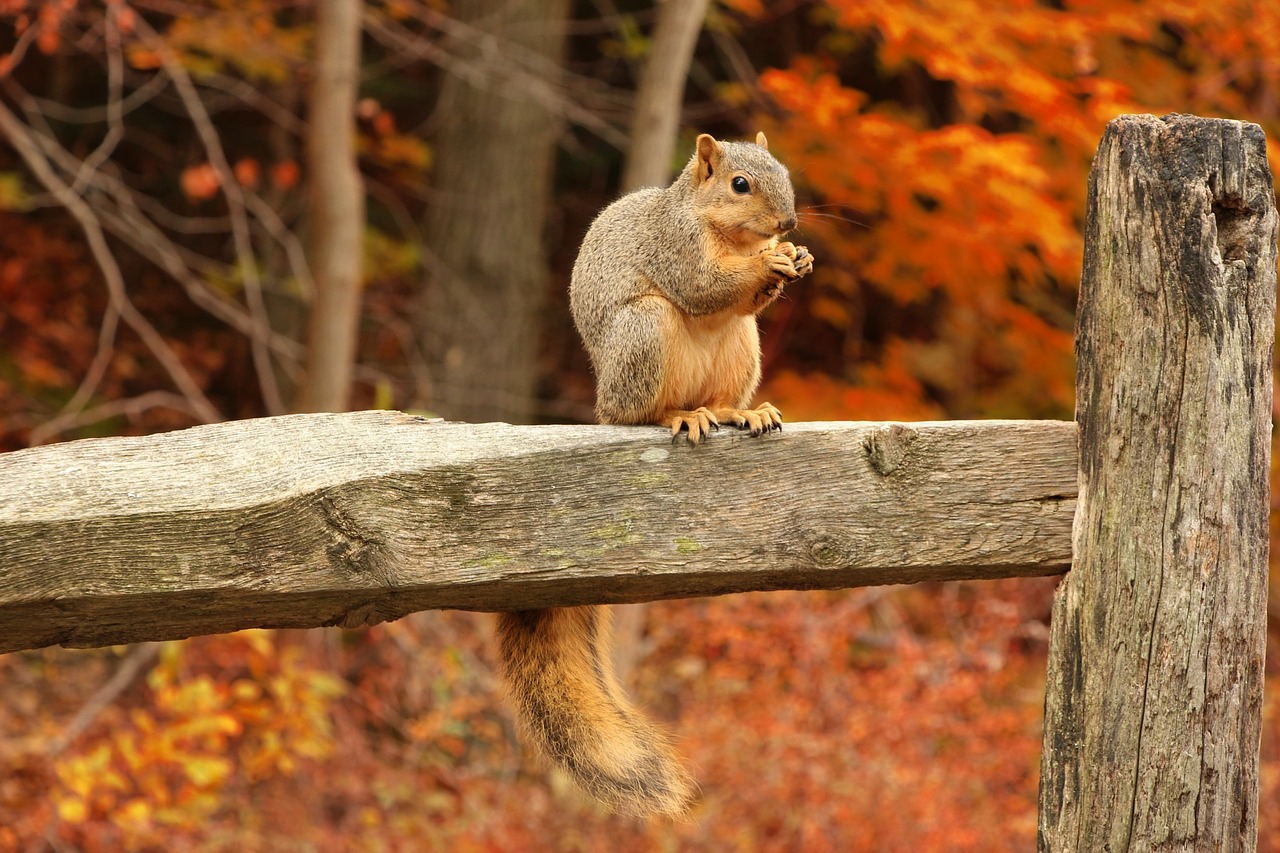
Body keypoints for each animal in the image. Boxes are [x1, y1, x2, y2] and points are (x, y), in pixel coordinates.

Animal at [496, 132, 813, 818]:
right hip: (645, 332)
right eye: (741, 184)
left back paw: (740, 411)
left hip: (742, 345)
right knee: (644, 411)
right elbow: (704, 285)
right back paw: (680, 414)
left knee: (726, 378)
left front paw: (795, 258)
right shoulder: (676, 249)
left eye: (784, 172)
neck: (721, 229)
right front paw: (771, 260)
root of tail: (603, 401)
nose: (788, 224)